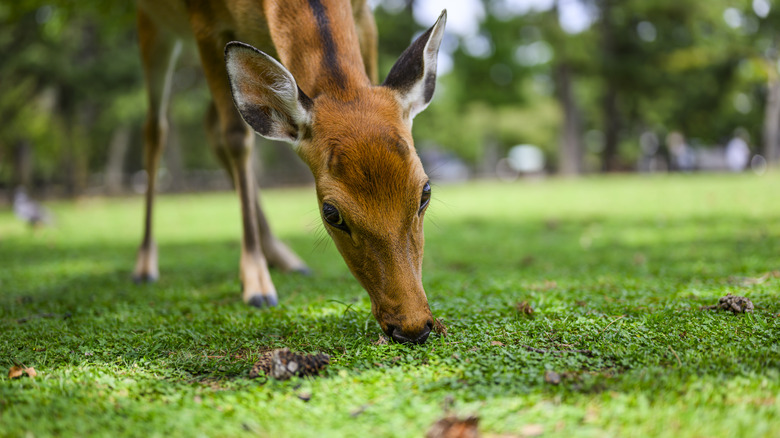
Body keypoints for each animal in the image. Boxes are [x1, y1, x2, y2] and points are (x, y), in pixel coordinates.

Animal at [133, 0, 446, 345]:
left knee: (207, 123)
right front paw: (256, 285)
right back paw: (145, 267)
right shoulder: (204, 24)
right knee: (156, 128)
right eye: (331, 213)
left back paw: (287, 259)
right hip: (151, 24)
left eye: (425, 192)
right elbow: (237, 139)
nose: (413, 327)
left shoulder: (364, 15)